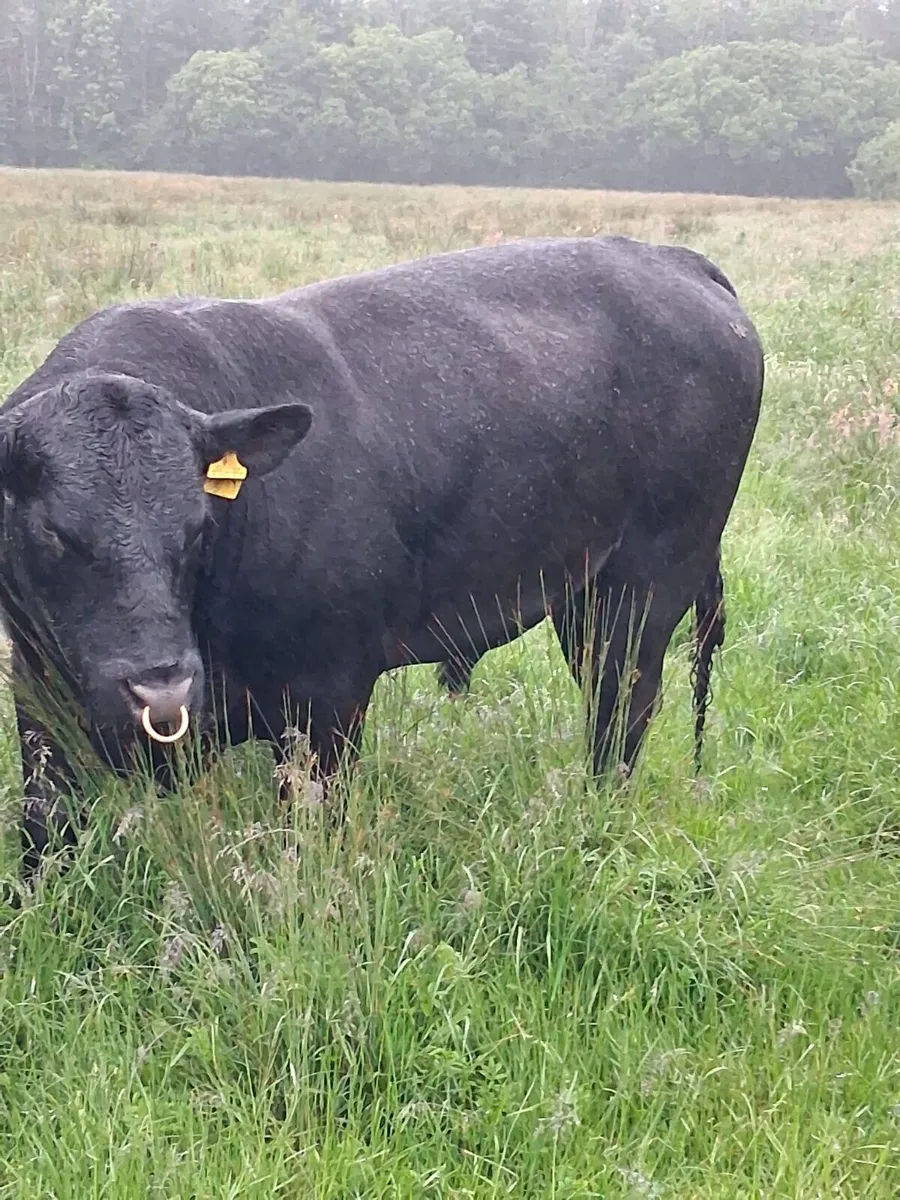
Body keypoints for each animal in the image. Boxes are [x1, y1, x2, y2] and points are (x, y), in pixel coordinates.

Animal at [0, 235, 764, 879]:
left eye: (196, 526)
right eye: (54, 533)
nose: (162, 691)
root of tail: (672, 259)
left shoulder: (328, 698)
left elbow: (310, 836)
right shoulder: (38, 700)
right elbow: (44, 838)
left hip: (647, 588)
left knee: (622, 710)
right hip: (582, 594)